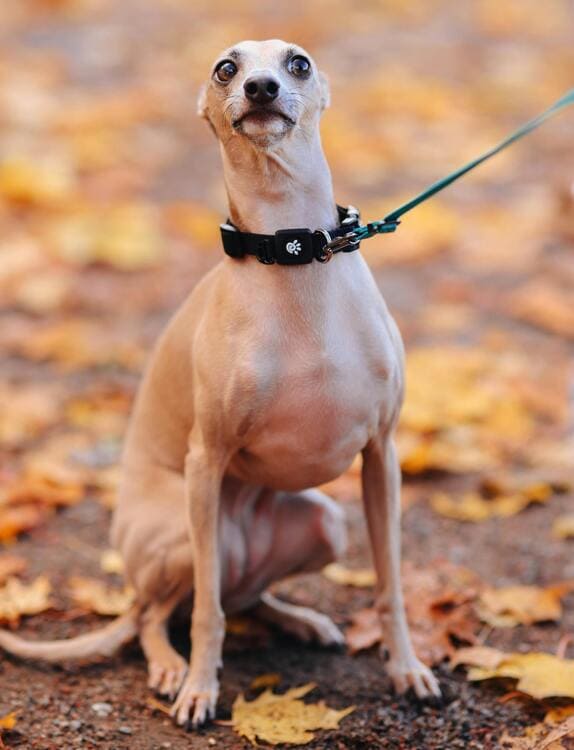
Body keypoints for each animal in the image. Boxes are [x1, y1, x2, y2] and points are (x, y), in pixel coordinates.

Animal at [0, 39, 440, 728]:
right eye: (225, 68)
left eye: (298, 62)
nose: (260, 87)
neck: (294, 252)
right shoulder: (205, 463)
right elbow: (207, 614)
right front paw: (201, 689)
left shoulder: (382, 456)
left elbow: (390, 583)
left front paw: (408, 669)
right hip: (182, 536)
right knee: (163, 612)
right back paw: (169, 667)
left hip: (323, 524)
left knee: (244, 598)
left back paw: (300, 620)